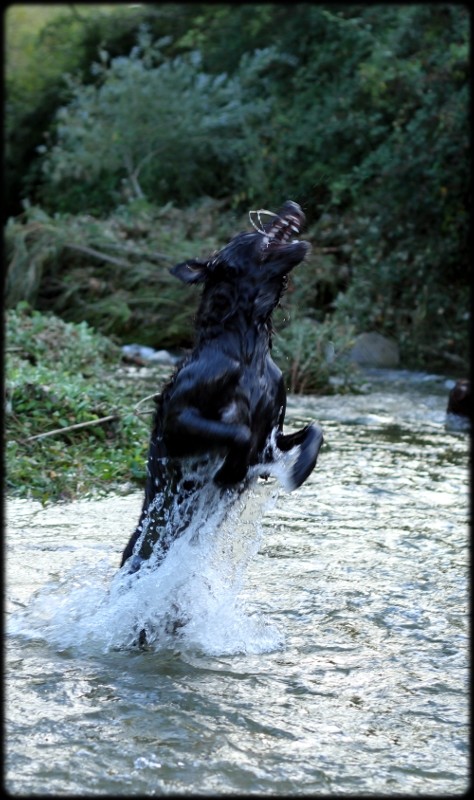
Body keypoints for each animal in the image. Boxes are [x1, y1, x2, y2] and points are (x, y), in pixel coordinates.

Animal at [120, 200, 324, 576]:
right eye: (245, 233)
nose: (292, 204)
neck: (246, 344)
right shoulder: (176, 424)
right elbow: (238, 433)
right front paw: (231, 470)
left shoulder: (272, 436)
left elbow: (315, 430)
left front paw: (301, 468)